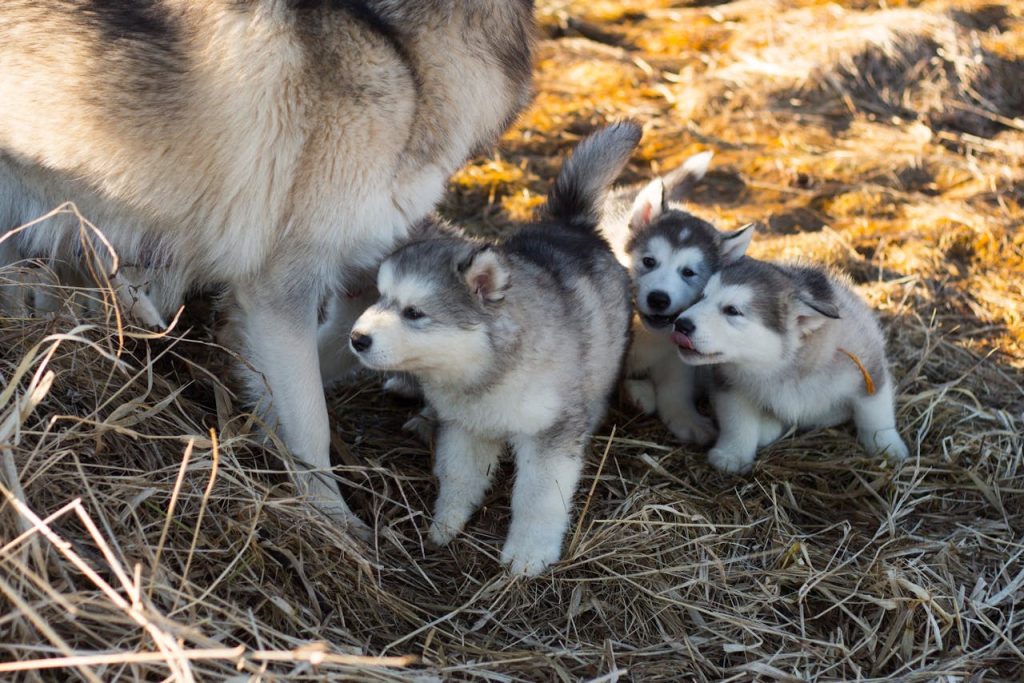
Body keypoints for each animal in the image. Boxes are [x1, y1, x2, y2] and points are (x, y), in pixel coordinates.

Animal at [352, 124, 638, 577]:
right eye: (381, 298)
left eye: (415, 312)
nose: (357, 338)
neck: (485, 370)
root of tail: (569, 224)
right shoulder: (468, 426)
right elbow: (459, 476)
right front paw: (446, 523)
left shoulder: (547, 435)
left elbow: (538, 499)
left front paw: (529, 554)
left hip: (604, 358)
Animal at [598, 153, 753, 444]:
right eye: (649, 261)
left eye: (688, 272)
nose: (659, 299)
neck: (647, 333)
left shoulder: (675, 354)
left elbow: (676, 388)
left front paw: (686, 418)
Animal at [675, 258, 909, 475]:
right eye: (702, 297)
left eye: (732, 310)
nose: (680, 324)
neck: (780, 368)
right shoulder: (730, 385)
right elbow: (737, 422)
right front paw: (732, 454)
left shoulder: (868, 369)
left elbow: (875, 414)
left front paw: (887, 446)